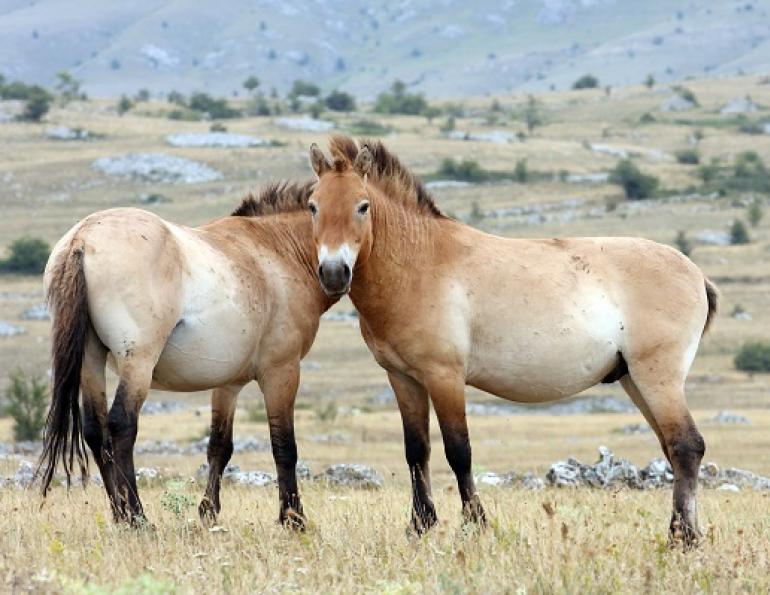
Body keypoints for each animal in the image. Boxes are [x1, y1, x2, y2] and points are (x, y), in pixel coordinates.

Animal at [37, 181, 332, 529]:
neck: (278, 249)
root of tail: (82, 239)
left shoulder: (228, 382)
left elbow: (219, 445)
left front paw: (208, 513)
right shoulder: (281, 372)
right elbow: (284, 446)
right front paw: (293, 518)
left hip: (90, 361)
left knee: (96, 431)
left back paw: (120, 516)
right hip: (138, 362)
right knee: (121, 426)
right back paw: (138, 518)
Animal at [304, 135, 718, 548]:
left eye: (362, 206)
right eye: (313, 205)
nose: (334, 273)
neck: (418, 263)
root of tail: (696, 274)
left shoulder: (444, 377)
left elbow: (459, 451)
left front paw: (476, 525)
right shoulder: (403, 378)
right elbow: (416, 452)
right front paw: (420, 526)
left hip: (657, 377)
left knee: (686, 445)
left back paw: (682, 537)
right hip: (634, 379)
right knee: (674, 446)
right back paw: (688, 532)